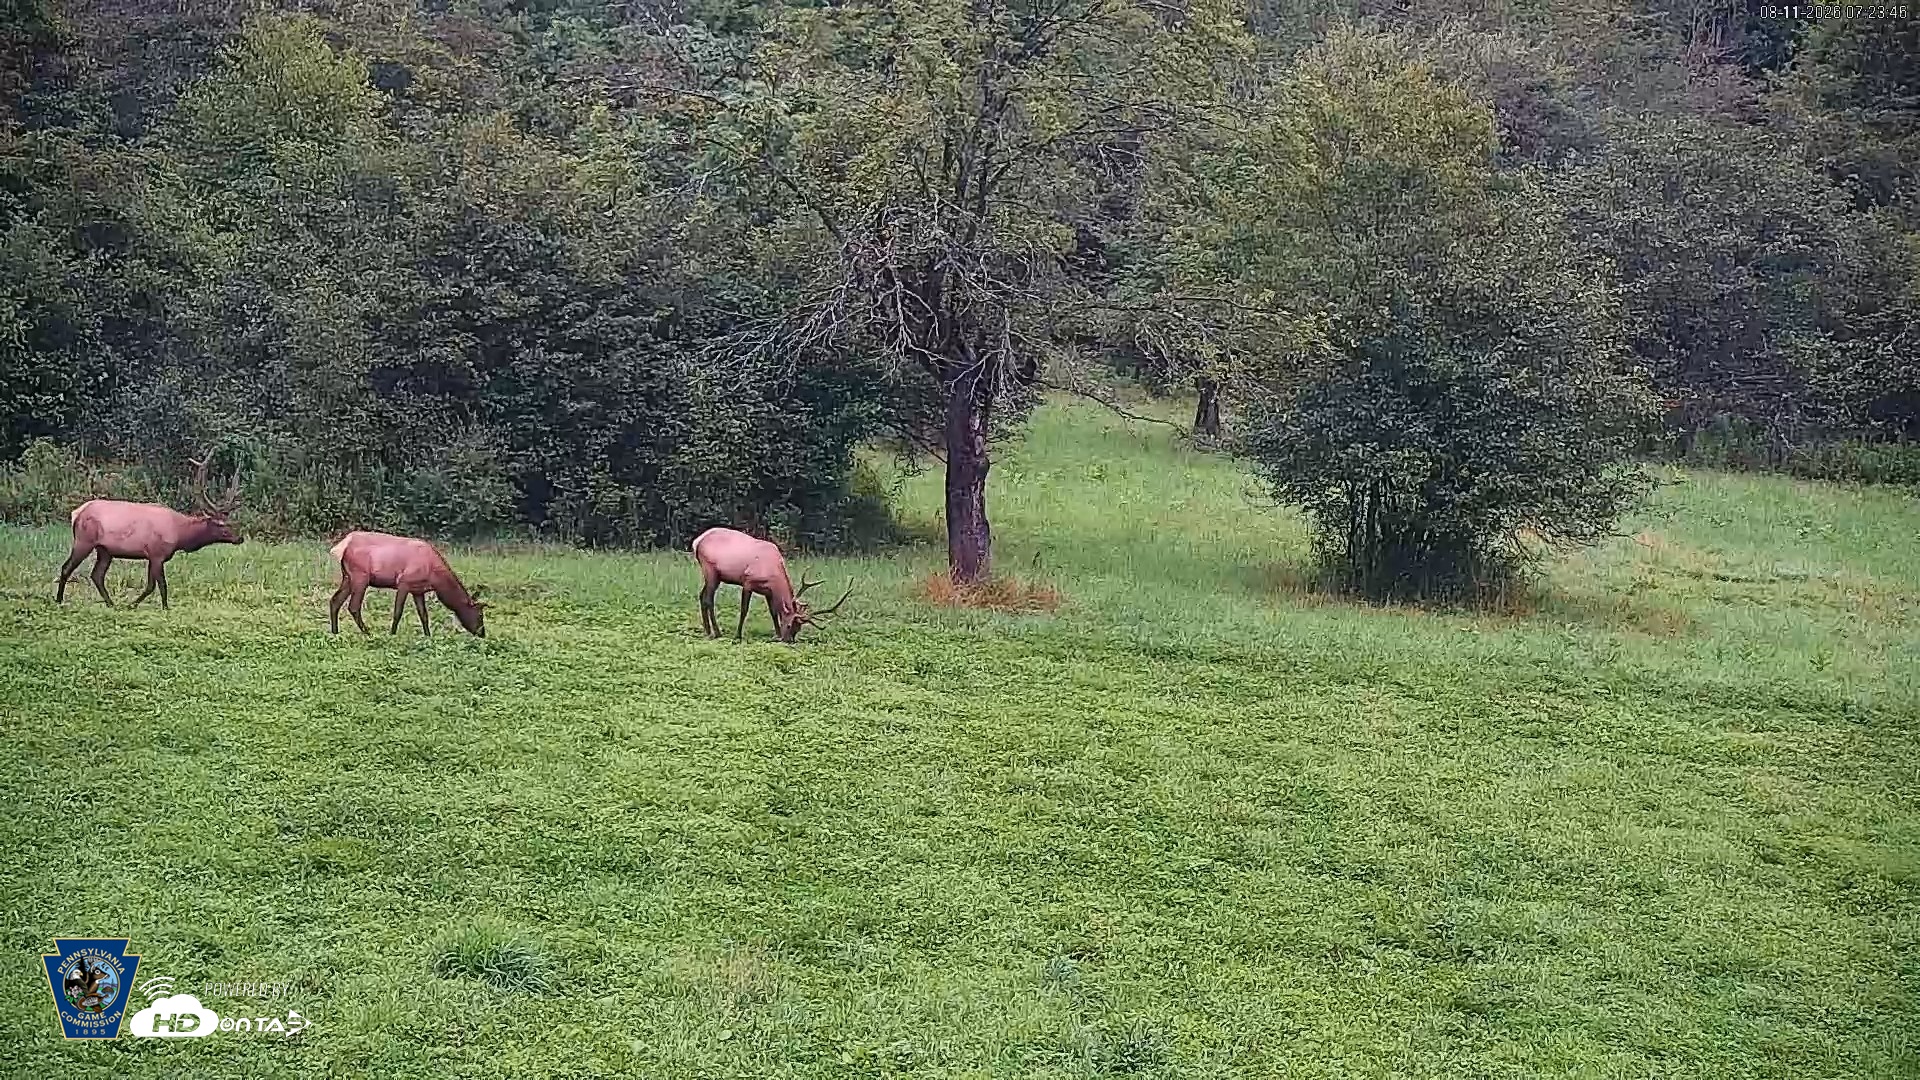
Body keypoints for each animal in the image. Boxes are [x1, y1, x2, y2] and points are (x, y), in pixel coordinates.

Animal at [56, 455, 243, 609]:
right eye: (220, 524)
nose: (239, 538)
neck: (180, 536)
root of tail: (76, 513)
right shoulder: (157, 554)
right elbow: (160, 585)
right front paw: (163, 608)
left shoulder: (152, 557)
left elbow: (150, 585)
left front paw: (132, 605)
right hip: (84, 540)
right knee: (67, 567)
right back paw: (59, 600)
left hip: (105, 550)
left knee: (97, 575)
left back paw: (111, 603)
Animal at [328, 530, 486, 638]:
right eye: (480, 614)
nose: (482, 633)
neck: (435, 578)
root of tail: (341, 547)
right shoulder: (404, 583)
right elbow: (398, 612)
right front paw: (392, 634)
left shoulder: (418, 590)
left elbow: (424, 615)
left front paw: (428, 636)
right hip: (360, 577)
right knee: (353, 606)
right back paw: (368, 633)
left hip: (348, 577)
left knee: (335, 600)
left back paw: (335, 632)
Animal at [692, 527, 852, 643]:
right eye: (790, 625)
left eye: (798, 628)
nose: (788, 640)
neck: (773, 574)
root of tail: (697, 542)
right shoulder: (748, 582)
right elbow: (744, 610)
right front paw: (738, 636)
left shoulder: (768, 591)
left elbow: (773, 611)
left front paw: (776, 634)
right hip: (711, 571)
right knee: (708, 599)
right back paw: (717, 632)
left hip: (713, 576)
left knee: (701, 595)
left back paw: (707, 631)